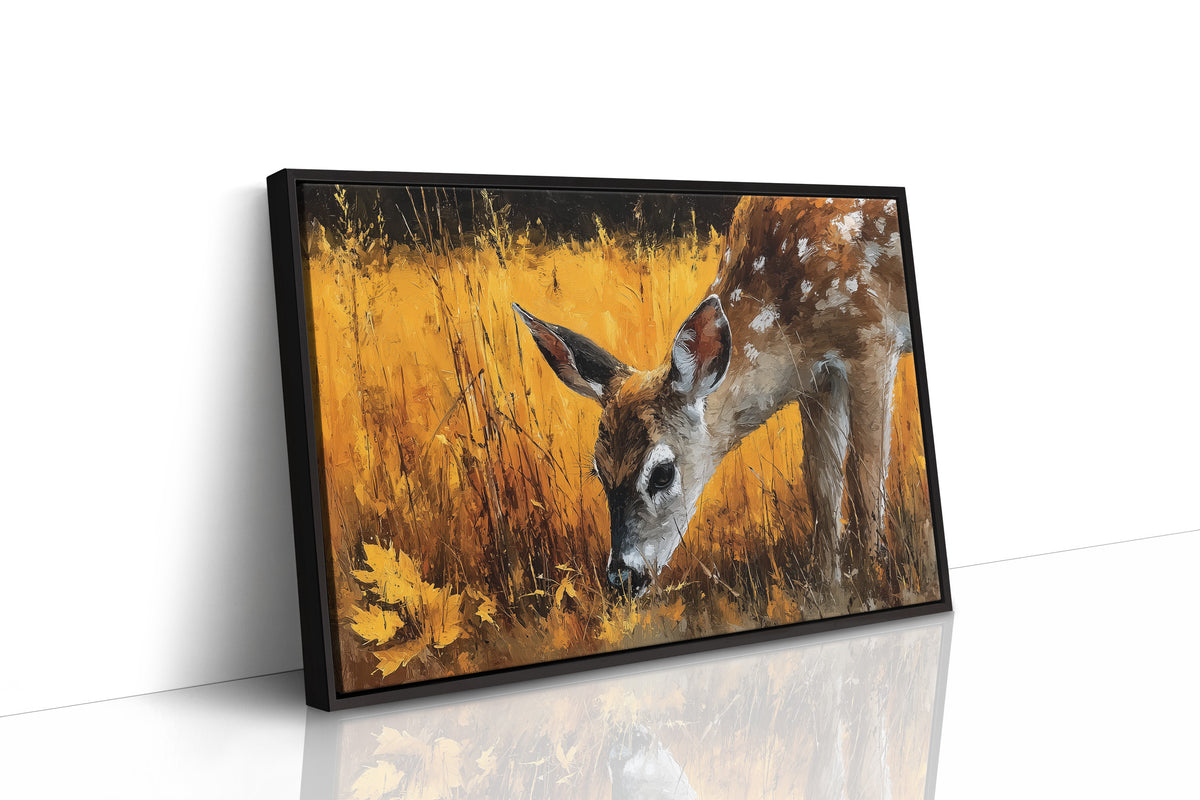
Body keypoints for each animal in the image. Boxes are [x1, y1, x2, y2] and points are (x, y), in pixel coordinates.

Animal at [514, 196, 910, 604]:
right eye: (598, 471)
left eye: (661, 474)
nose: (623, 577)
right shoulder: (819, 380)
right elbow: (824, 490)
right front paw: (827, 590)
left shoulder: (873, 338)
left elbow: (866, 485)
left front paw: (870, 587)